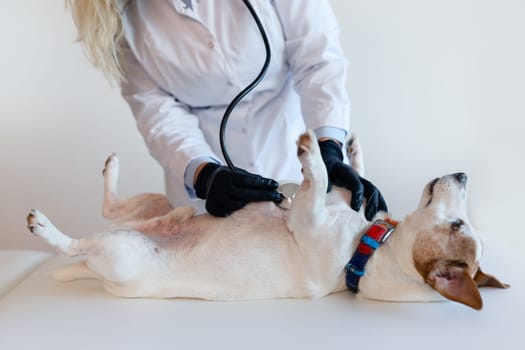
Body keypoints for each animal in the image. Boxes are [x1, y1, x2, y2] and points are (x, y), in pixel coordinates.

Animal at [26, 131, 506, 308]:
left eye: (458, 226)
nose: (463, 174)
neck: (366, 251)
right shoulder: (333, 202)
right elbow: (342, 179)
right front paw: (348, 154)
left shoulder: (307, 217)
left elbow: (316, 176)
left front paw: (313, 152)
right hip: (157, 206)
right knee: (111, 208)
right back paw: (110, 168)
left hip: (121, 250)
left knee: (79, 241)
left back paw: (45, 225)